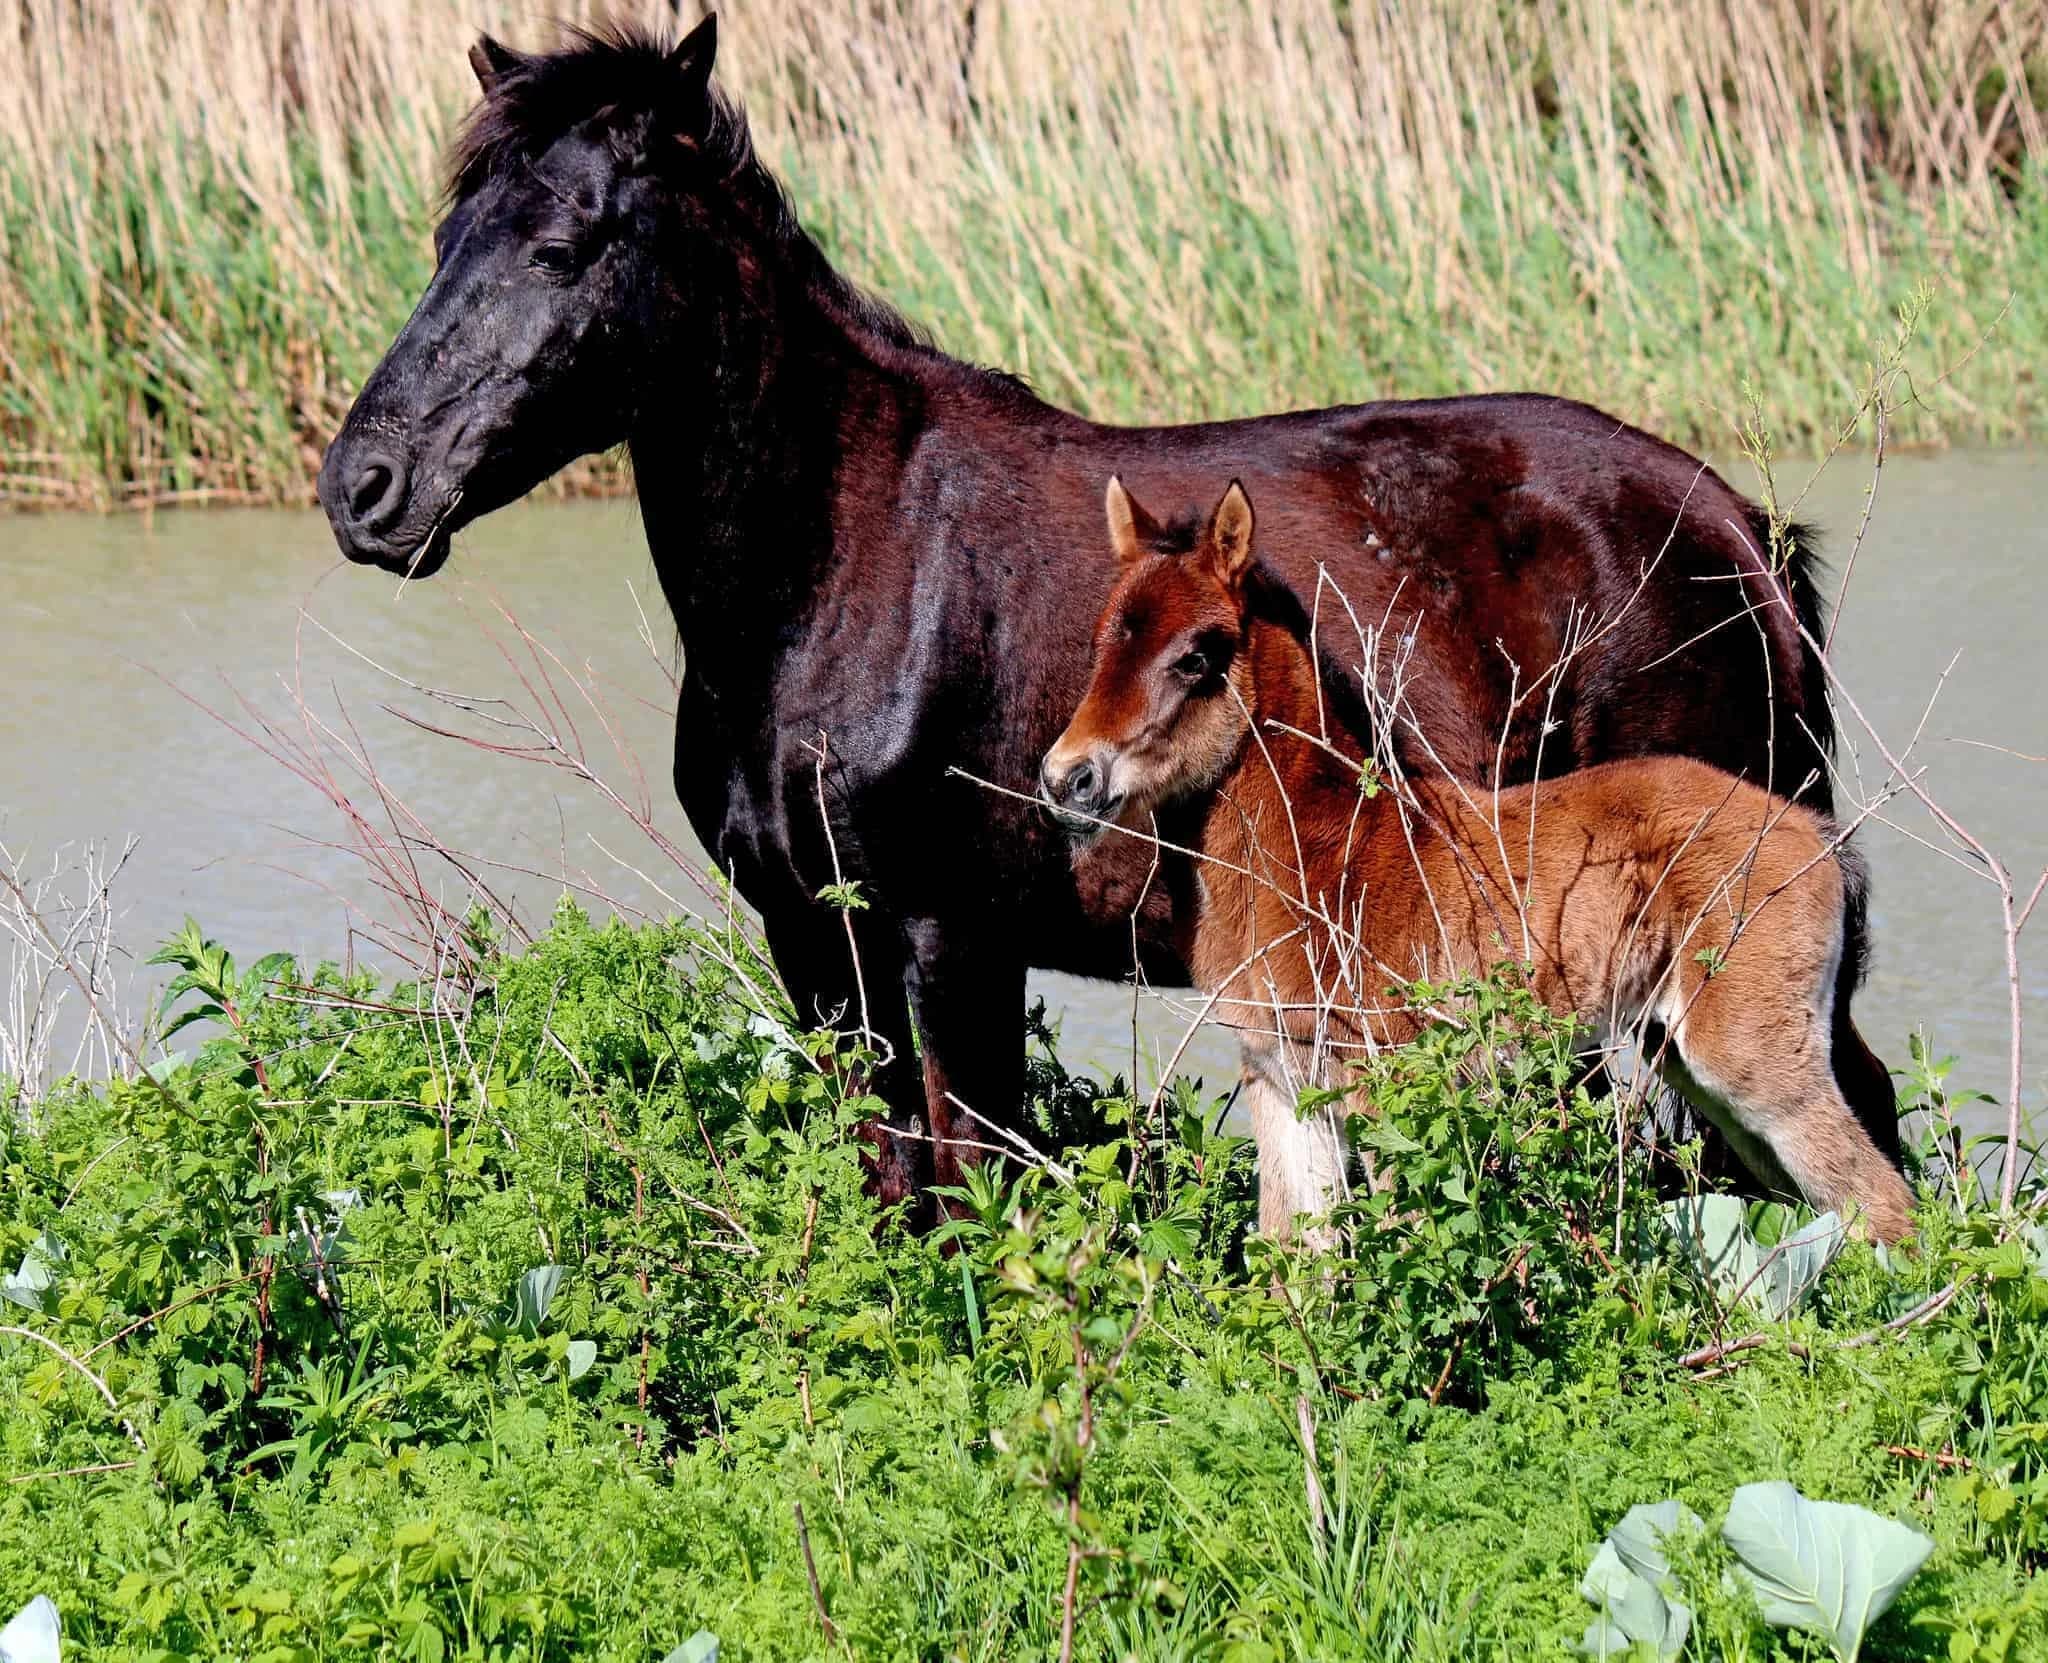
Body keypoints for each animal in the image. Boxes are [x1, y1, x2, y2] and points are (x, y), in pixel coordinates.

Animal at [319, 9, 1884, 1204]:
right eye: (447, 238)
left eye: (563, 246)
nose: (366, 486)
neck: (843, 574)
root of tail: (1735, 528)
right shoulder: (812, 941)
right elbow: (890, 1184)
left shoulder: (946, 939)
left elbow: (968, 1184)